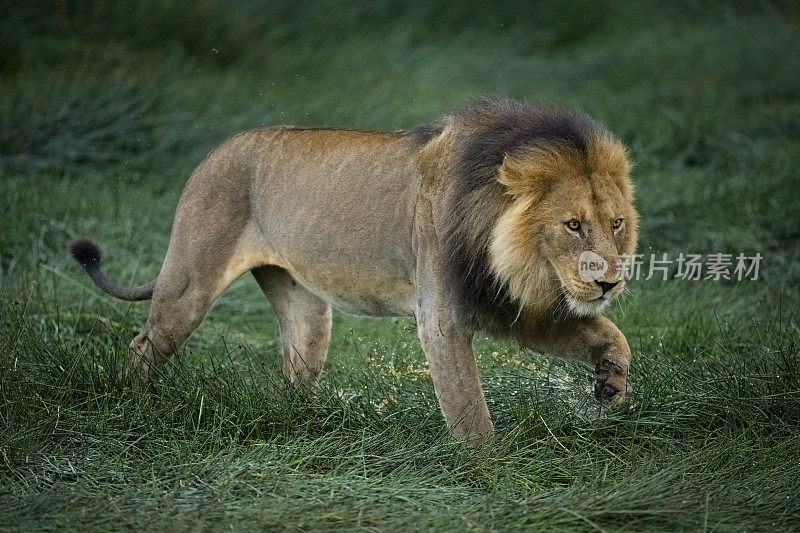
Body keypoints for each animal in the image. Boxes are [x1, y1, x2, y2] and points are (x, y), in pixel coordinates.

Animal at [72, 97, 640, 438]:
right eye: (572, 225)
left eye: (615, 224)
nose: (609, 281)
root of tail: (214, 152)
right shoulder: (443, 318)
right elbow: (468, 407)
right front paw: (489, 471)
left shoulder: (511, 305)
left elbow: (608, 334)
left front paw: (611, 387)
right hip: (189, 282)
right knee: (144, 344)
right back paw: (138, 406)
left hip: (306, 312)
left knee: (296, 366)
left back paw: (301, 424)